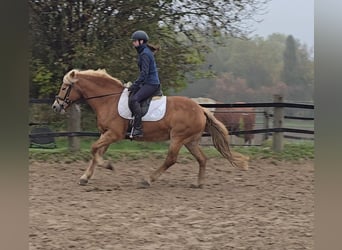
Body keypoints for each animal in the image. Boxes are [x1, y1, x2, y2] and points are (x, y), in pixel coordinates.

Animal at [51, 68, 248, 188]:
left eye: (64, 87)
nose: (56, 106)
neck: (108, 100)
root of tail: (201, 109)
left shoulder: (113, 134)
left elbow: (94, 150)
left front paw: (108, 166)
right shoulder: (105, 134)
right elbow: (96, 152)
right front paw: (85, 177)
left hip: (178, 138)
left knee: (171, 159)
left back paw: (148, 179)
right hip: (189, 140)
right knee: (202, 159)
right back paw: (198, 183)